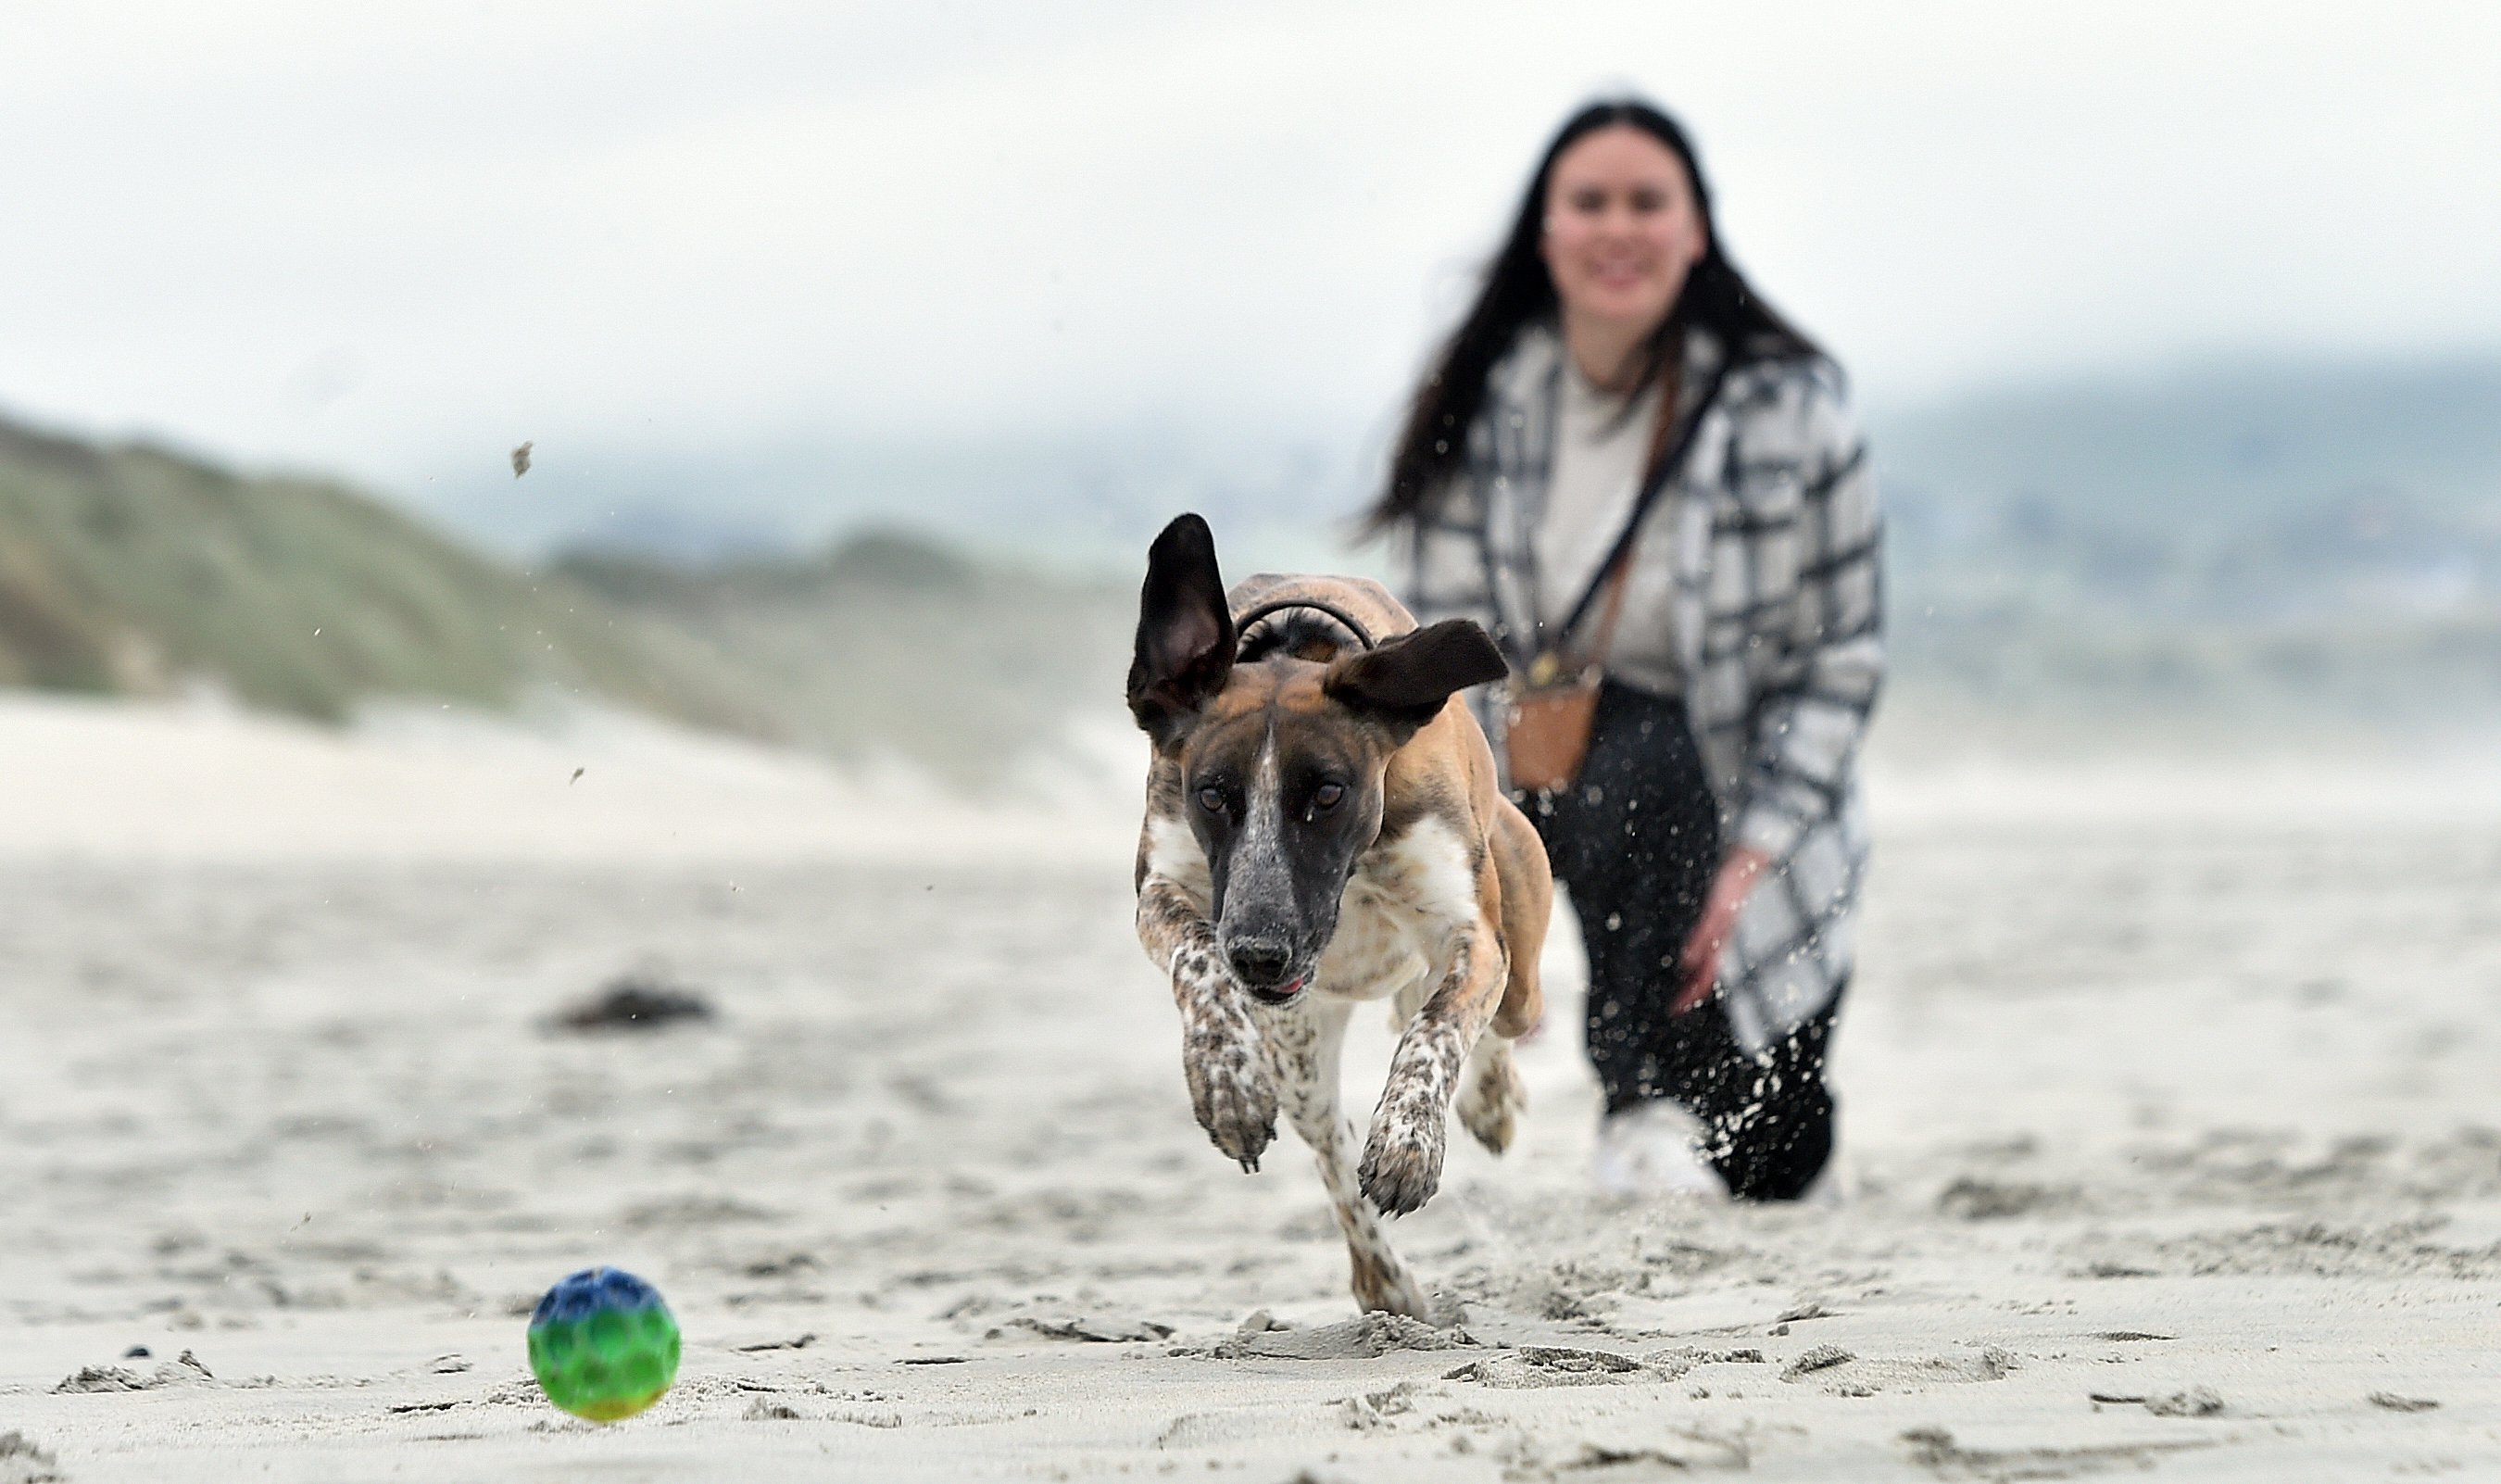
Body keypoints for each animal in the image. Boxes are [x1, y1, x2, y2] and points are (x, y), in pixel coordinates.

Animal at [1130, 515, 1551, 1311]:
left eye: (1328, 792)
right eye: (1212, 794)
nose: (1260, 955)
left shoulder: (1471, 933)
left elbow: (1438, 1029)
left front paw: (1410, 1140)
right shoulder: (1163, 886)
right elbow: (1195, 955)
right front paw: (1226, 1080)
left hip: (1518, 958)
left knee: (1487, 1017)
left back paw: (1490, 1103)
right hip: (1298, 1050)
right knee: (1326, 1140)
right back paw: (1382, 1277)